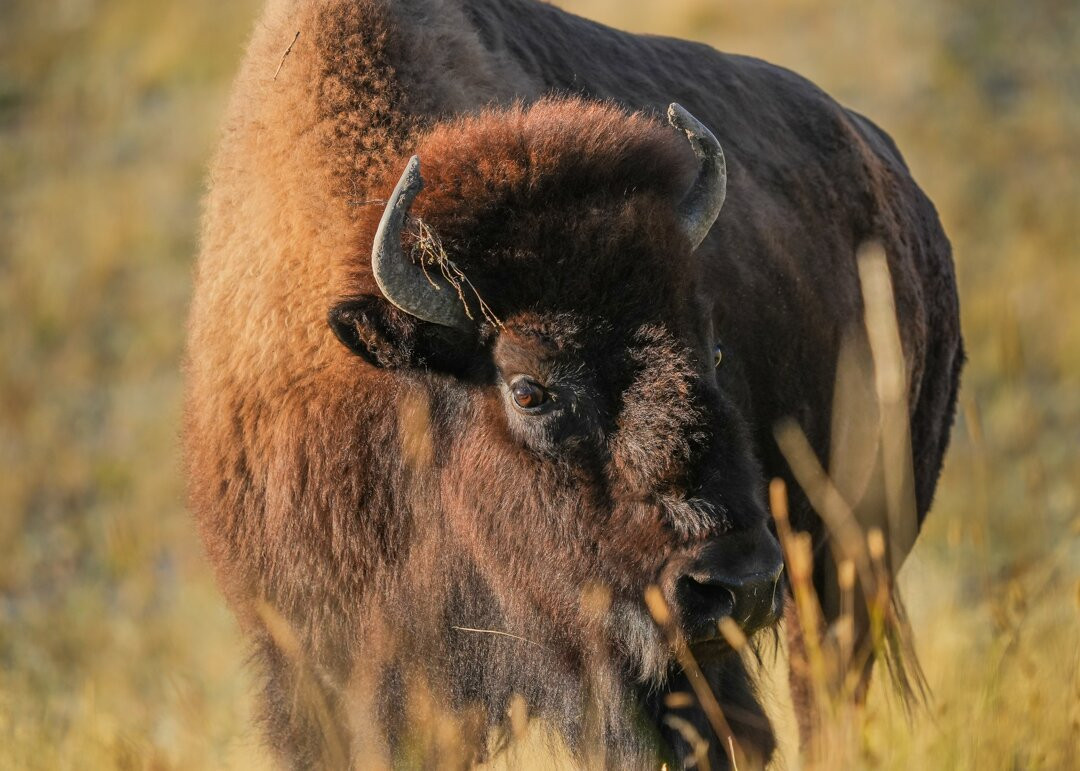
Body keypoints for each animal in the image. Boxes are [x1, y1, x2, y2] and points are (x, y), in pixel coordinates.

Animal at [185, 0, 963, 767]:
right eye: (528, 388)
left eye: (714, 350)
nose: (734, 582)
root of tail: (898, 185)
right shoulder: (322, 664)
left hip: (845, 556)